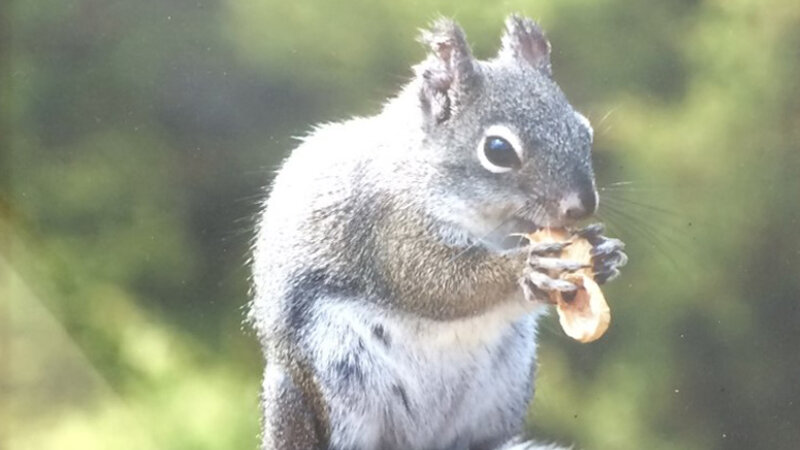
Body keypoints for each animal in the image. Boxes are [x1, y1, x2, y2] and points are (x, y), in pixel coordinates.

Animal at [249, 14, 627, 450]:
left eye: (584, 131)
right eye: (498, 150)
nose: (581, 205)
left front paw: (604, 254)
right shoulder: (389, 228)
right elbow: (437, 282)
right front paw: (524, 270)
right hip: (334, 377)